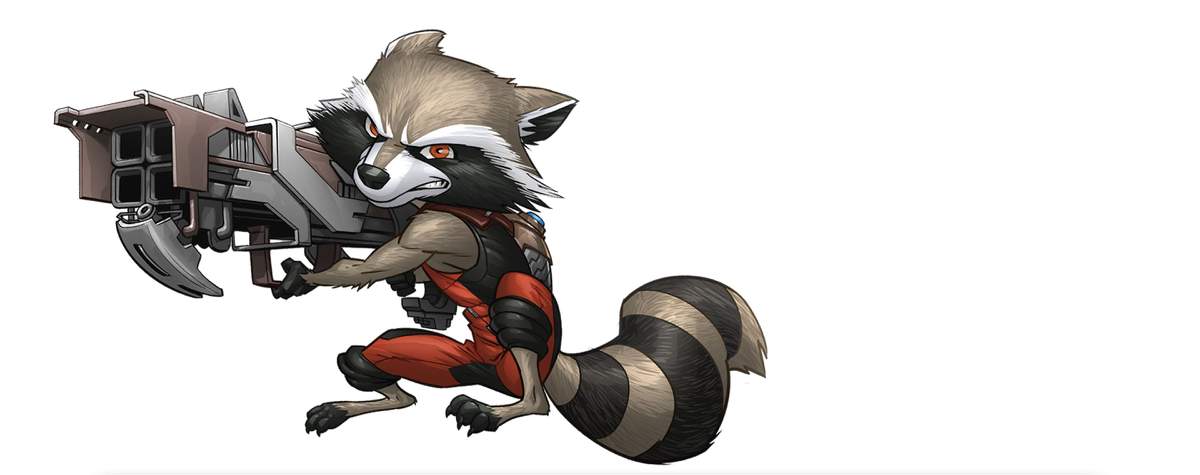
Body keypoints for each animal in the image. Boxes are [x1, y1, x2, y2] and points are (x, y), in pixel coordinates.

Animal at [285, 30, 767, 464]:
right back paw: (375, 398)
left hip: (516, 367)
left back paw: (508, 405)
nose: (372, 176)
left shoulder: (436, 229)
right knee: (374, 354)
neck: (456, 203)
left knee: (519, 314)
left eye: (439, 152)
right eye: (370, 128)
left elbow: (375, 266)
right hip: (461, 361)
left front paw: (307, 274)